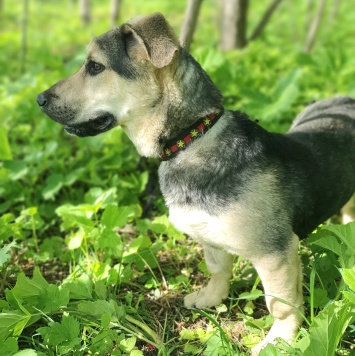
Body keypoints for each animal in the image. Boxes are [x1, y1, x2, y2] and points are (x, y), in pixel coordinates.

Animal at [36, 12, 355, 354]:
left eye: (95, 66)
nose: (39, 99)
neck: (190, 139)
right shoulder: (209, 238)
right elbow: (218, 270)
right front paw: (211, 298)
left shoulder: (276, 252)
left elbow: (281, 303)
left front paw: (279, 340)